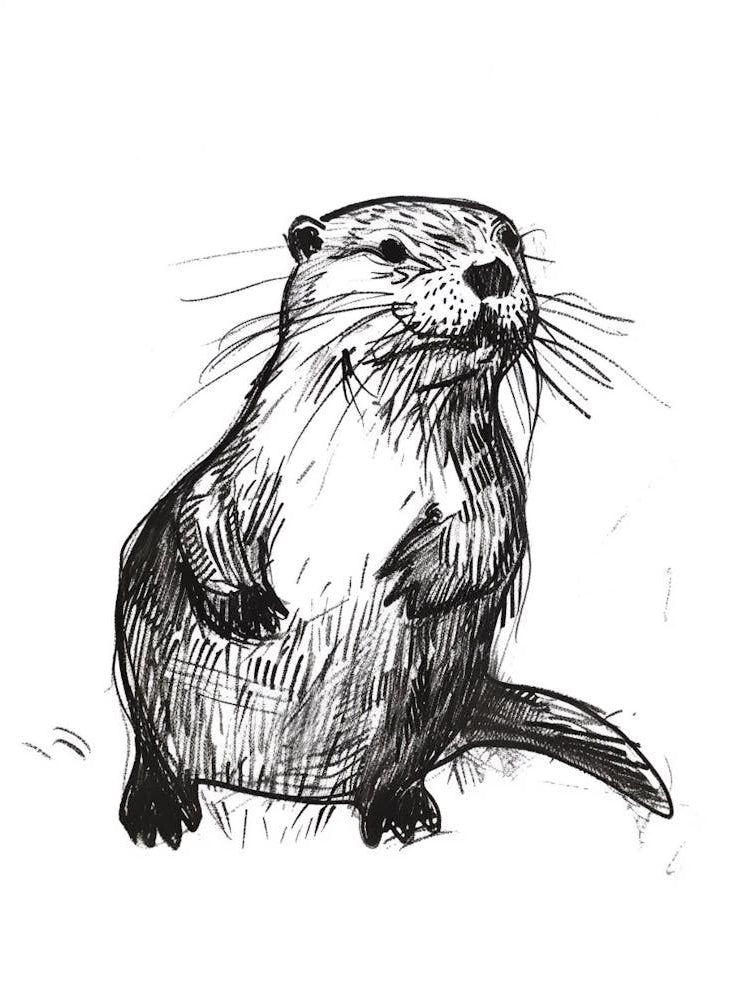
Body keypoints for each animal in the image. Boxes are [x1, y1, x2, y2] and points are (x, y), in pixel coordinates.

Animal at [115, 196, 672, 849]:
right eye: (390, 249)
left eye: (510, 240)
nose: (491, 269)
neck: (363, 467)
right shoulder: (245, 459)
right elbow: (199, 508)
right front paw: (248, 607)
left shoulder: (492, 478)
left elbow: (495, 534)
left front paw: (410, 579)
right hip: (148, 688)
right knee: (155, 749)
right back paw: (157, 809)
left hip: (423, 721)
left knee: (394, 777)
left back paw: (404, 814)